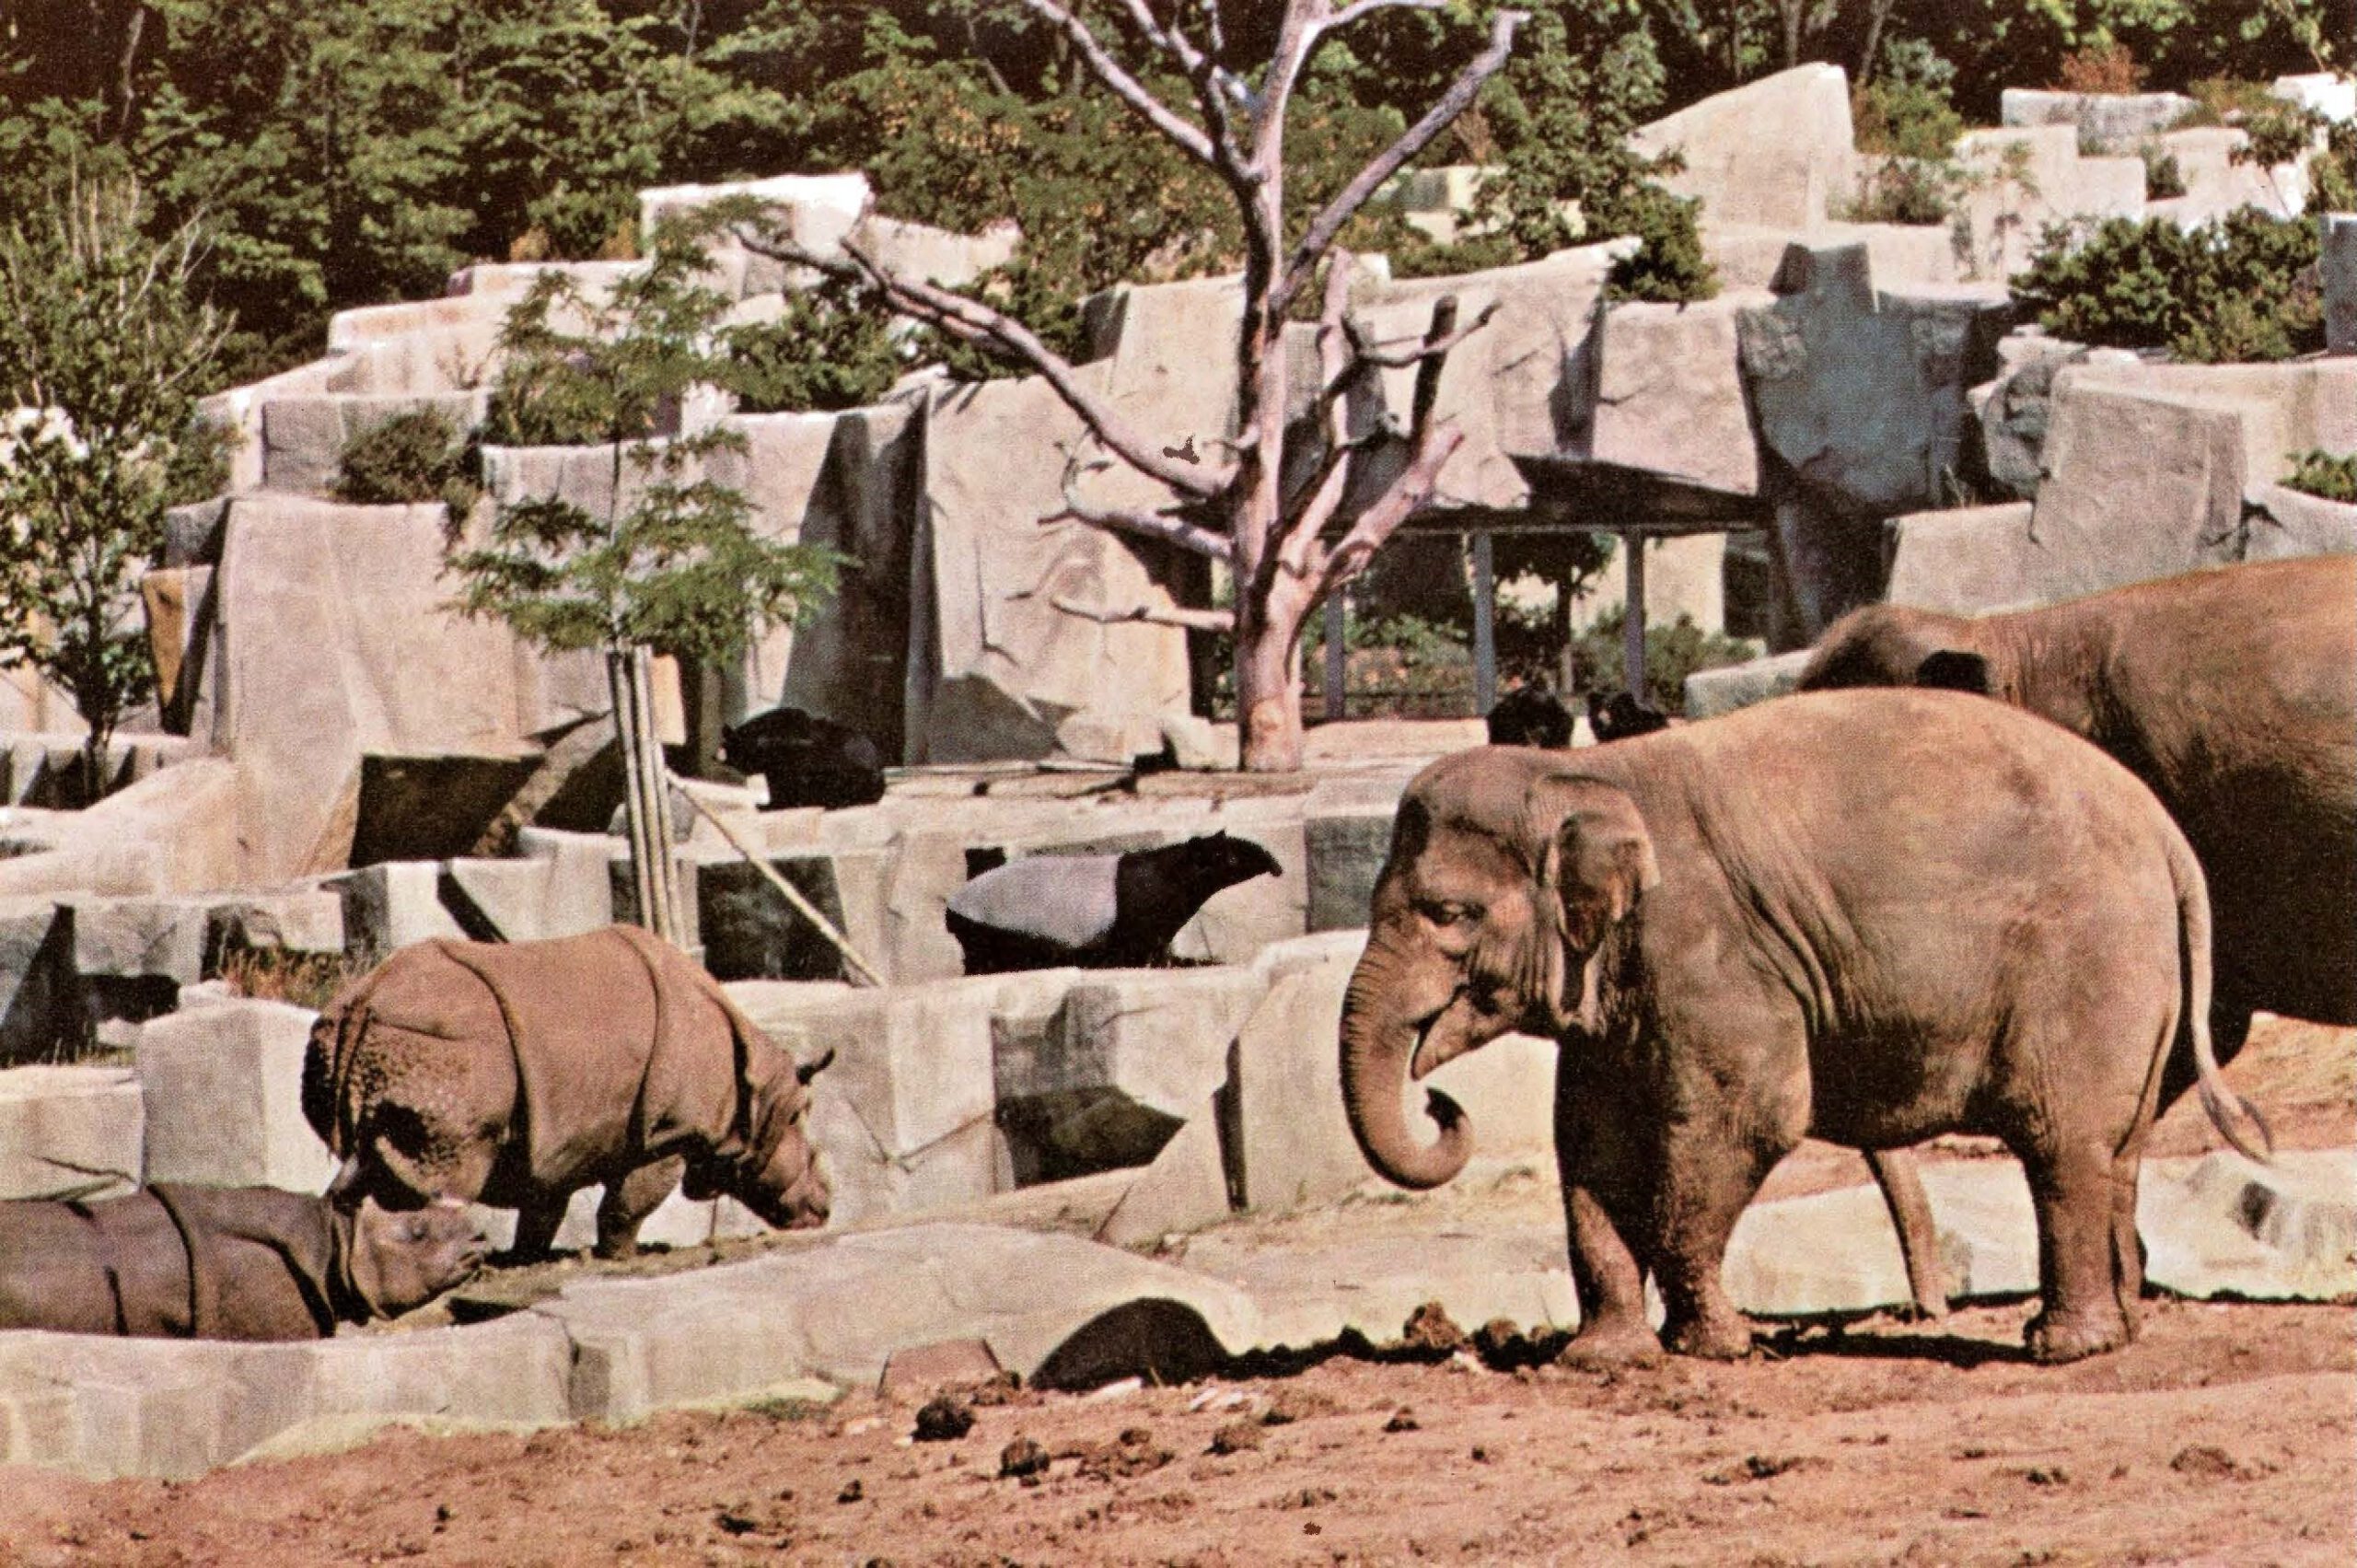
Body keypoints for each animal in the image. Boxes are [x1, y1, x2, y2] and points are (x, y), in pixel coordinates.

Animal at [303, 925, 832, 1259]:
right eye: (810, 1156)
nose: (825, 1206)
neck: (759, 1097)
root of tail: (362, 1003)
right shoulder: (669, 1132)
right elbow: (628, 1203)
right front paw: (620, 1258)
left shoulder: (560, 1137)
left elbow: (544, 1209)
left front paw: (525, 1258)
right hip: (445, 1049)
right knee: (447, 1175)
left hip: (363, 1042)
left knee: (368, 1163)